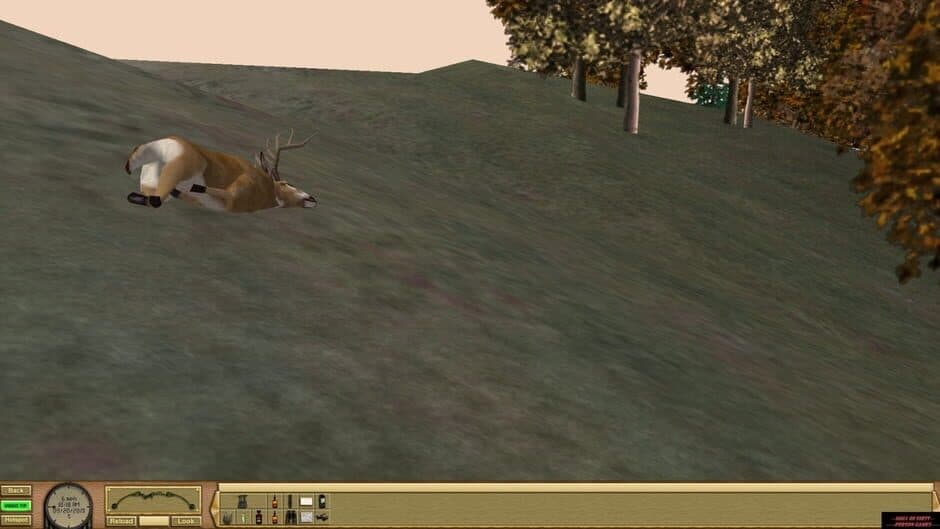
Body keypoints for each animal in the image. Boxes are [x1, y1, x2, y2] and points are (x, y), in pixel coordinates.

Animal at [124, 129, 318, 212]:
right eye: (286, 183)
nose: (312, 199)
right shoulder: (233, 194)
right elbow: (199, 188)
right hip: (179, 170)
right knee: (156, 200)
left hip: (152, 179)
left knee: (145, 197)